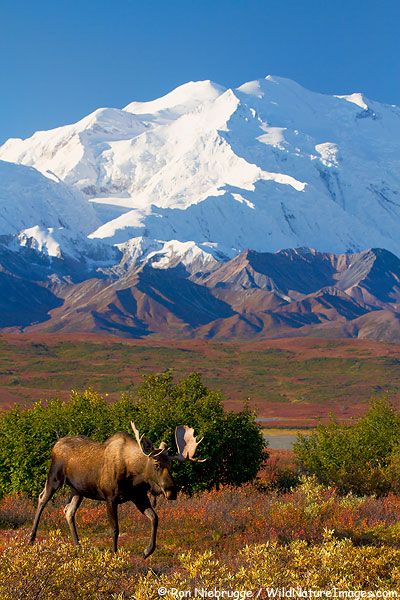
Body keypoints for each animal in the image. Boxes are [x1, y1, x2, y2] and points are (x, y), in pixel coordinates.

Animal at [28, 422, 203, 556]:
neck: (135, 475)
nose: (171, 491)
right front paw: (114, 554)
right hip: (55, 478)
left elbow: (155, 518)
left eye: (171, 465)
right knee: (42, 498)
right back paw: (31, 538)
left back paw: (78, 545)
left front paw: (147, 551)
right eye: (157, 464)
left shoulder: (139, 497)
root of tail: (56, 444)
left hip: (78, 490)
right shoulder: (110, 498)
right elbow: (115, 529)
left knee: (68, 511)